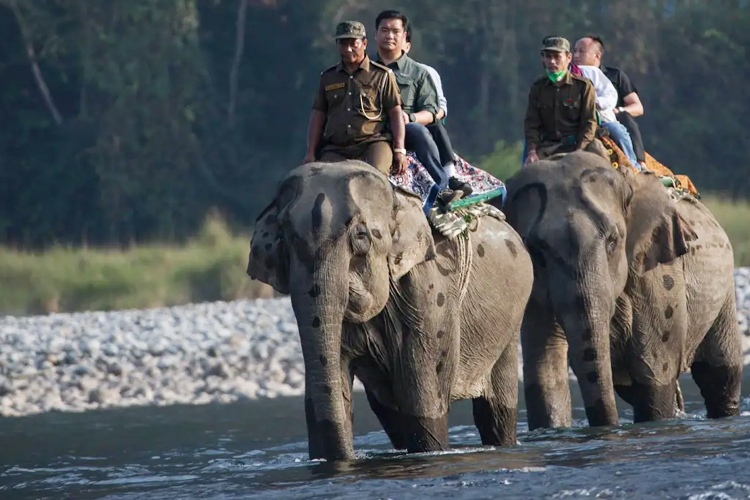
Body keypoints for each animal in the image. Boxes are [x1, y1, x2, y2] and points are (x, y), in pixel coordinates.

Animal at [247, 159, 536, 460]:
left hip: (511, 317)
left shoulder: (430, 293)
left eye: (361, 236)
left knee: (495, 412)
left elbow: (423, 398)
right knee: (392, 415)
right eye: (284, 240)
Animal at [502, 151, 744, 430]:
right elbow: (545, 373)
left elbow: (654, 372)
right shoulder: (534, 292)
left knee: (718, 376)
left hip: (723, 287)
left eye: (613, 241)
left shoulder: (656, 272)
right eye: (537, 252)